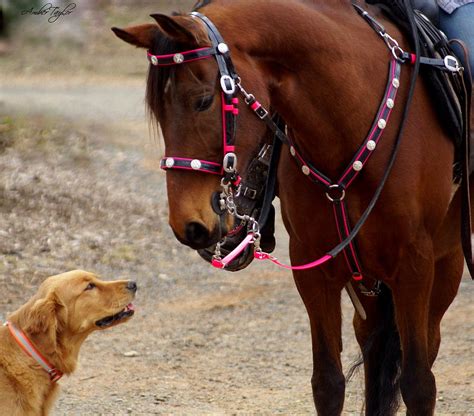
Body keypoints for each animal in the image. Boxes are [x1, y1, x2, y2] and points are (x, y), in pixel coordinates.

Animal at [113, 1, 468, 414]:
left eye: (202, 100)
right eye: (157, 110)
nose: (189, 224)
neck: (350, 119)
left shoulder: (414, 265)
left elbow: (418, 384)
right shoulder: (313, 268)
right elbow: (328, 383)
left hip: (443, 266)